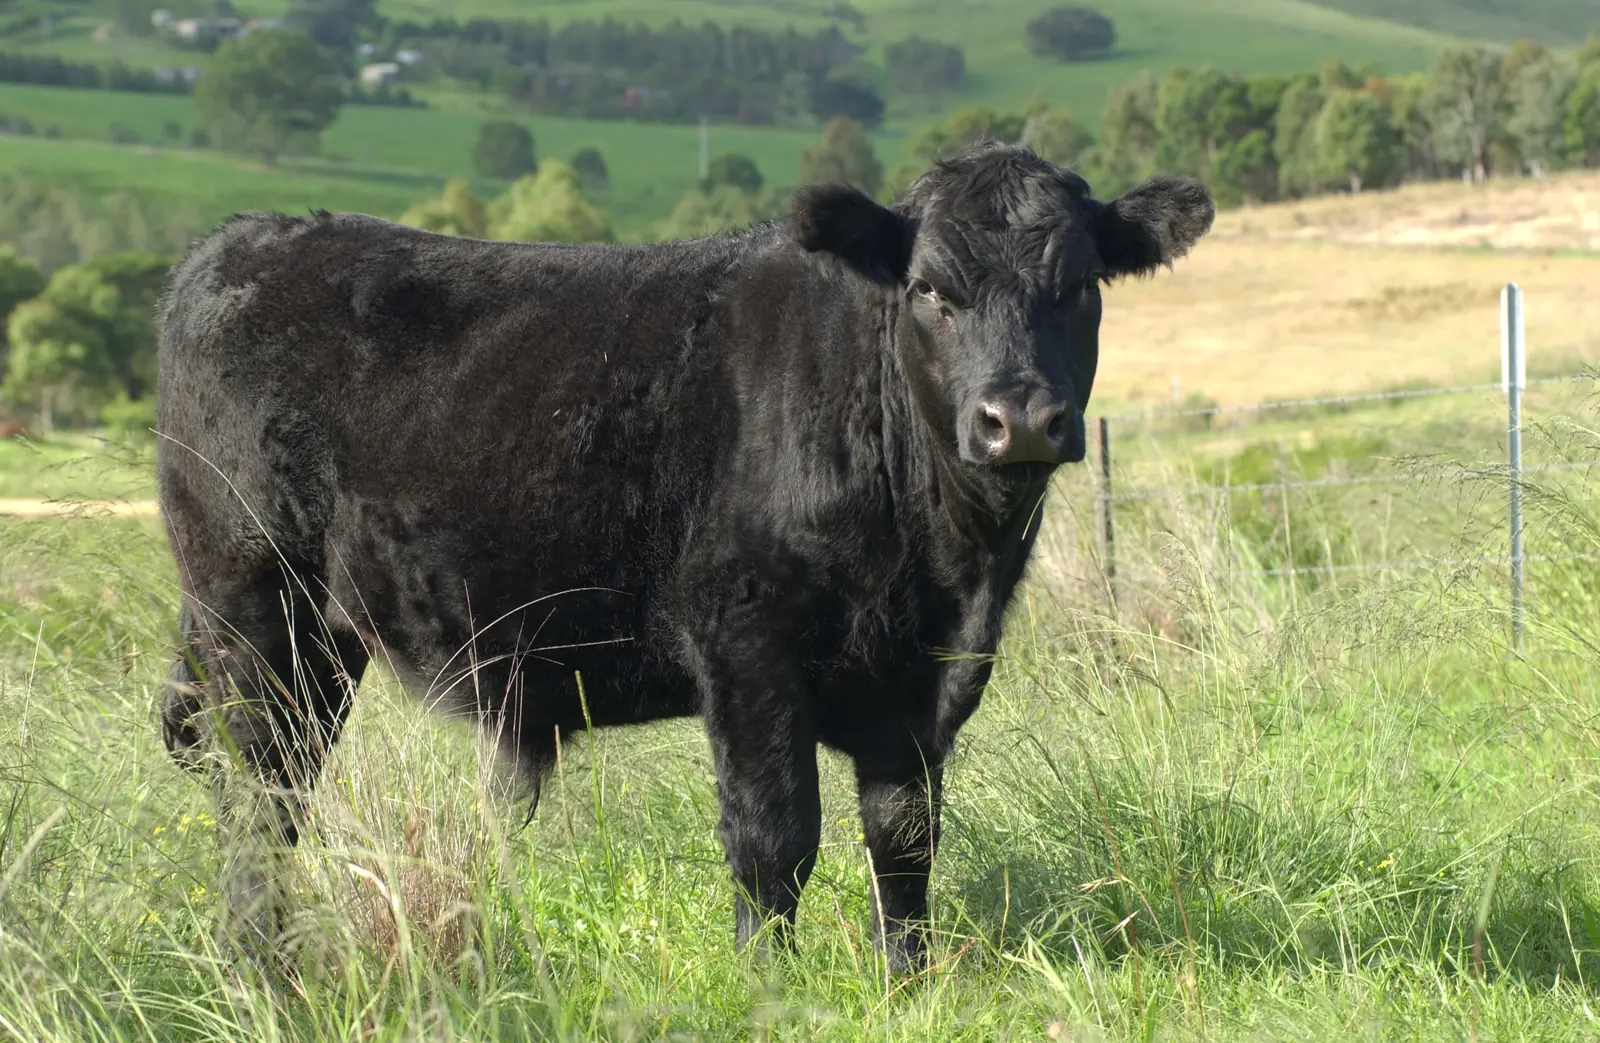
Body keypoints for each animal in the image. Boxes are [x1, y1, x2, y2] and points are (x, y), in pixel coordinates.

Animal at [156, 143, 1212, 974]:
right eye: (928, 289)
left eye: (1079, 286)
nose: (1018, 418)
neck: (946, 563)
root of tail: (245, 240)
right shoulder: (746, 639)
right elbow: (775, 837)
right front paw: (766, 983)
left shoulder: (929, 676)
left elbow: (905, 834)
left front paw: (908, 980)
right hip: (257, 611)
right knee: (259, 797)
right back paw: (262, 970)